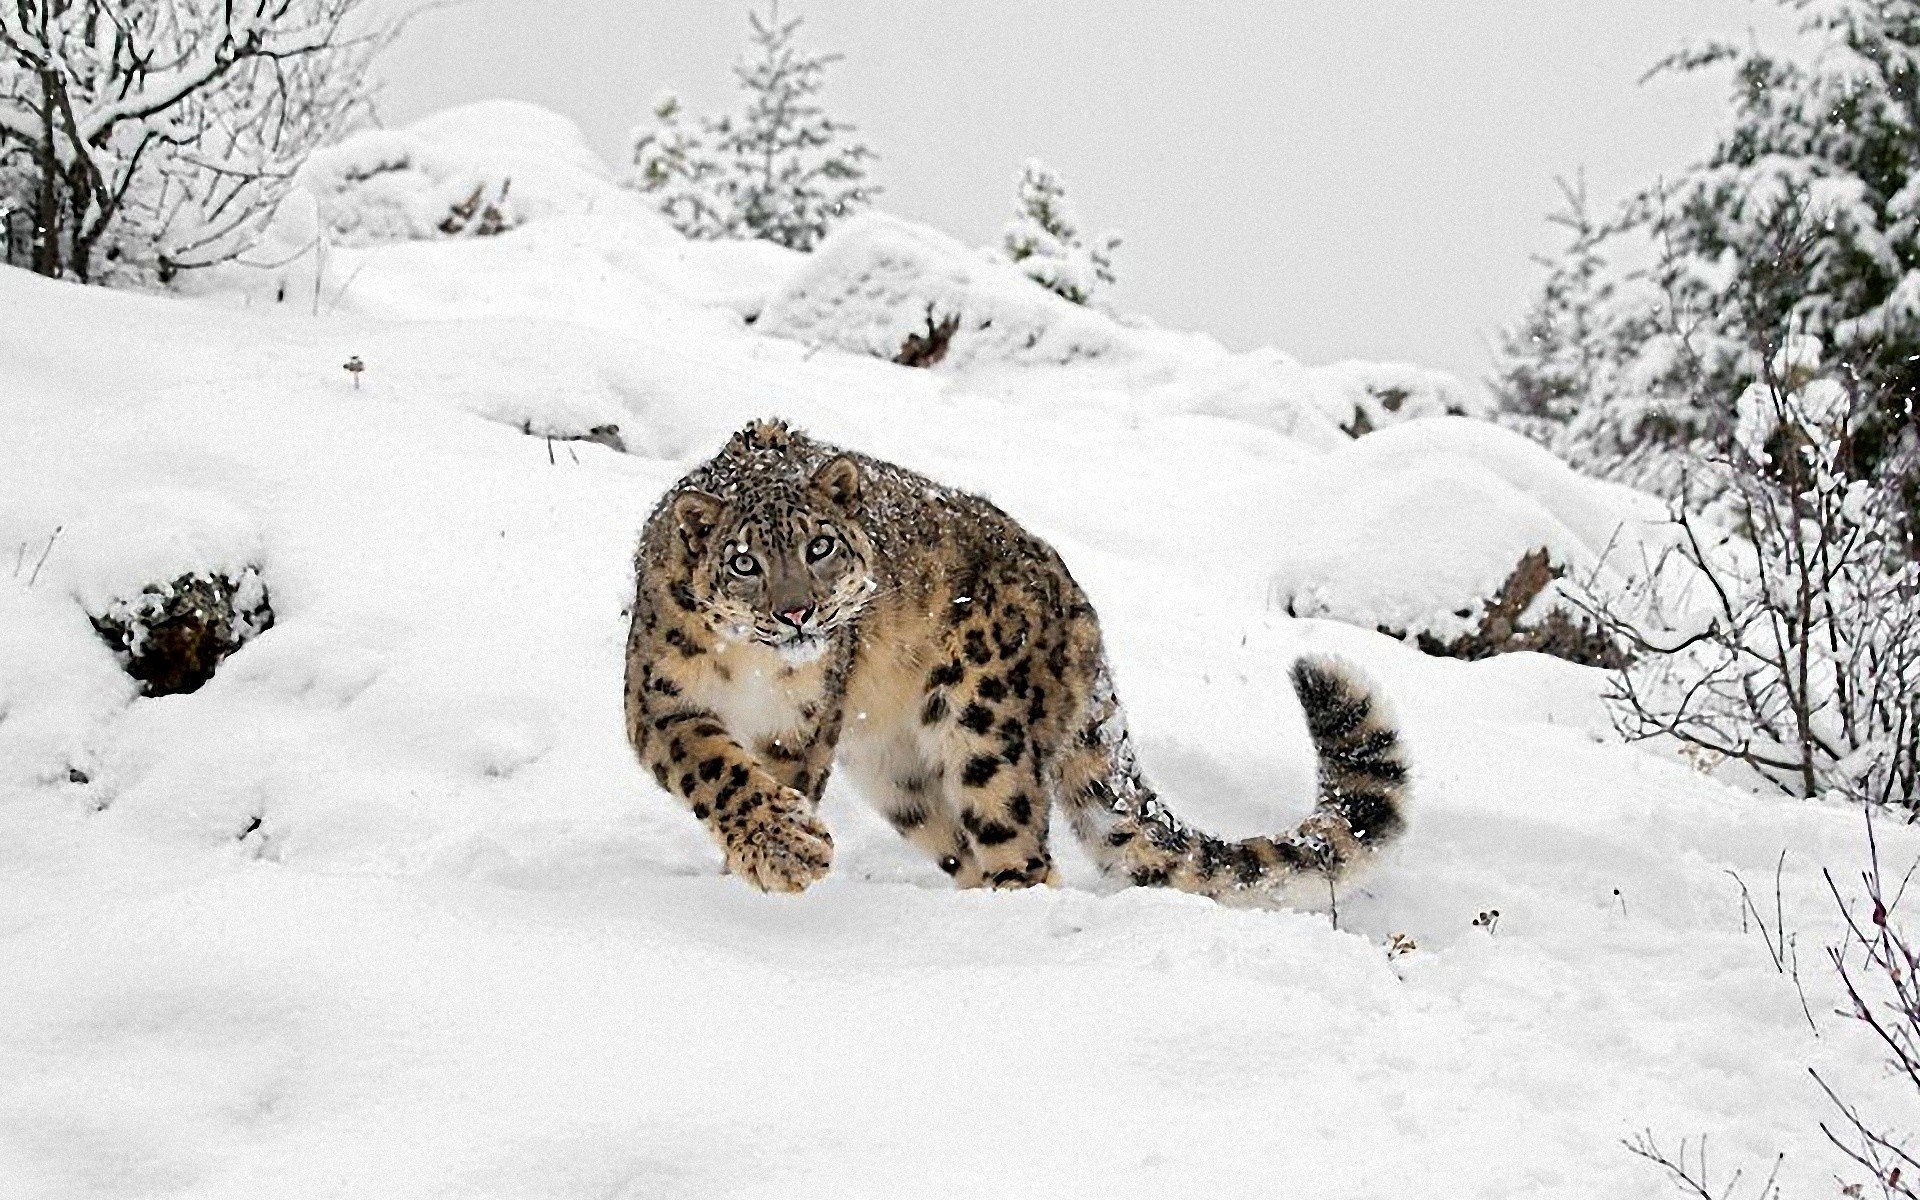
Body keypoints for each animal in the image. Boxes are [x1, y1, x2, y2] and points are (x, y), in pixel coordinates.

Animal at [623, 419, 1410, 901]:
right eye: (744, 562)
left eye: (820, 546)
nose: (796, 613)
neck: (753, 674)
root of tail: (1081, 607)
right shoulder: (661, 702)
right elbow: (722, 771)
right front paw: (778, 856)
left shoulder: (805, 724)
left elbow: (770, 778)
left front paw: (780, 861)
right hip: (899, 773)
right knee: (962, 845)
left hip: (986, 727)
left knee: (1019, 844)